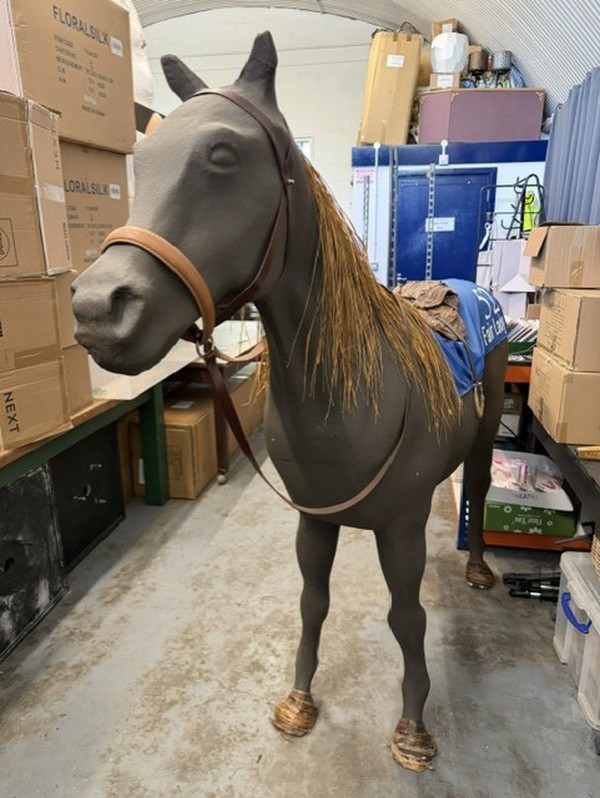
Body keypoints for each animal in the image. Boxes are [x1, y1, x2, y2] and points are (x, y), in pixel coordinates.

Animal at [71, 32, 508, 772]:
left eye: (223, 154)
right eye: (142, 161)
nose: (99, 309)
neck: (353, 397)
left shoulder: (398, 529)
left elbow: (407, 618)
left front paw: (413, 729)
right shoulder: (314, 522)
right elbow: (312, 603)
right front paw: (299, 701)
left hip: (488, 429)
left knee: (476, 483)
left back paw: (478, 568)